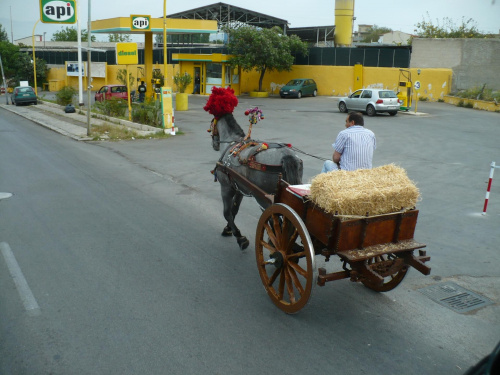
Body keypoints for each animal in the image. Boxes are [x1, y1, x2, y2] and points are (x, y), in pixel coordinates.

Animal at [209, 113, 302, 251]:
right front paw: (228, 229)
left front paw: (240, 237)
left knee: (276, 222)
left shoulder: (226, 188)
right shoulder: (239, 189)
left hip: (262, 198)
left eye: (211, 125)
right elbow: (234, 210)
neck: (232, 144)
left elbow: (227, 212)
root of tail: (286, 156)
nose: (214, 144)